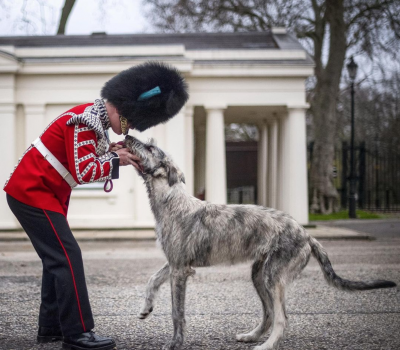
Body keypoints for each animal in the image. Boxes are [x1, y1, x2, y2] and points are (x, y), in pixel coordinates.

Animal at [125, 135, 396, 350]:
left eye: (149, 147)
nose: (127, 136)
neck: (173, 201)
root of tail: (306, 234)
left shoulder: (180, 269)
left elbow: (177, 312)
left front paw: (175, 343)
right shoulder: (175, 263)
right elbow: (152, 279)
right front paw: (146, 307)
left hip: (273, 277)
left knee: (281, 317)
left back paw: (266, 345)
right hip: (259, 274)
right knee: (268, 313)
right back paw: (252, 336)